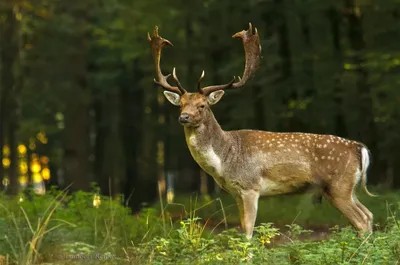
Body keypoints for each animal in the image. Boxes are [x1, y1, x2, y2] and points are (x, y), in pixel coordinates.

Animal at [147, 23, 376, 237]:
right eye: (180, 104)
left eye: (203, 105)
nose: (183, 117)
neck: (225, 159)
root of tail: (359, 147)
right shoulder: (236, 192)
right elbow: (242, 229)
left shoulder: (250, 186)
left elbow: (248, 231)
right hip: (347, 188)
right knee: (369, 214)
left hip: (338, 186)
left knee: (362, 220)